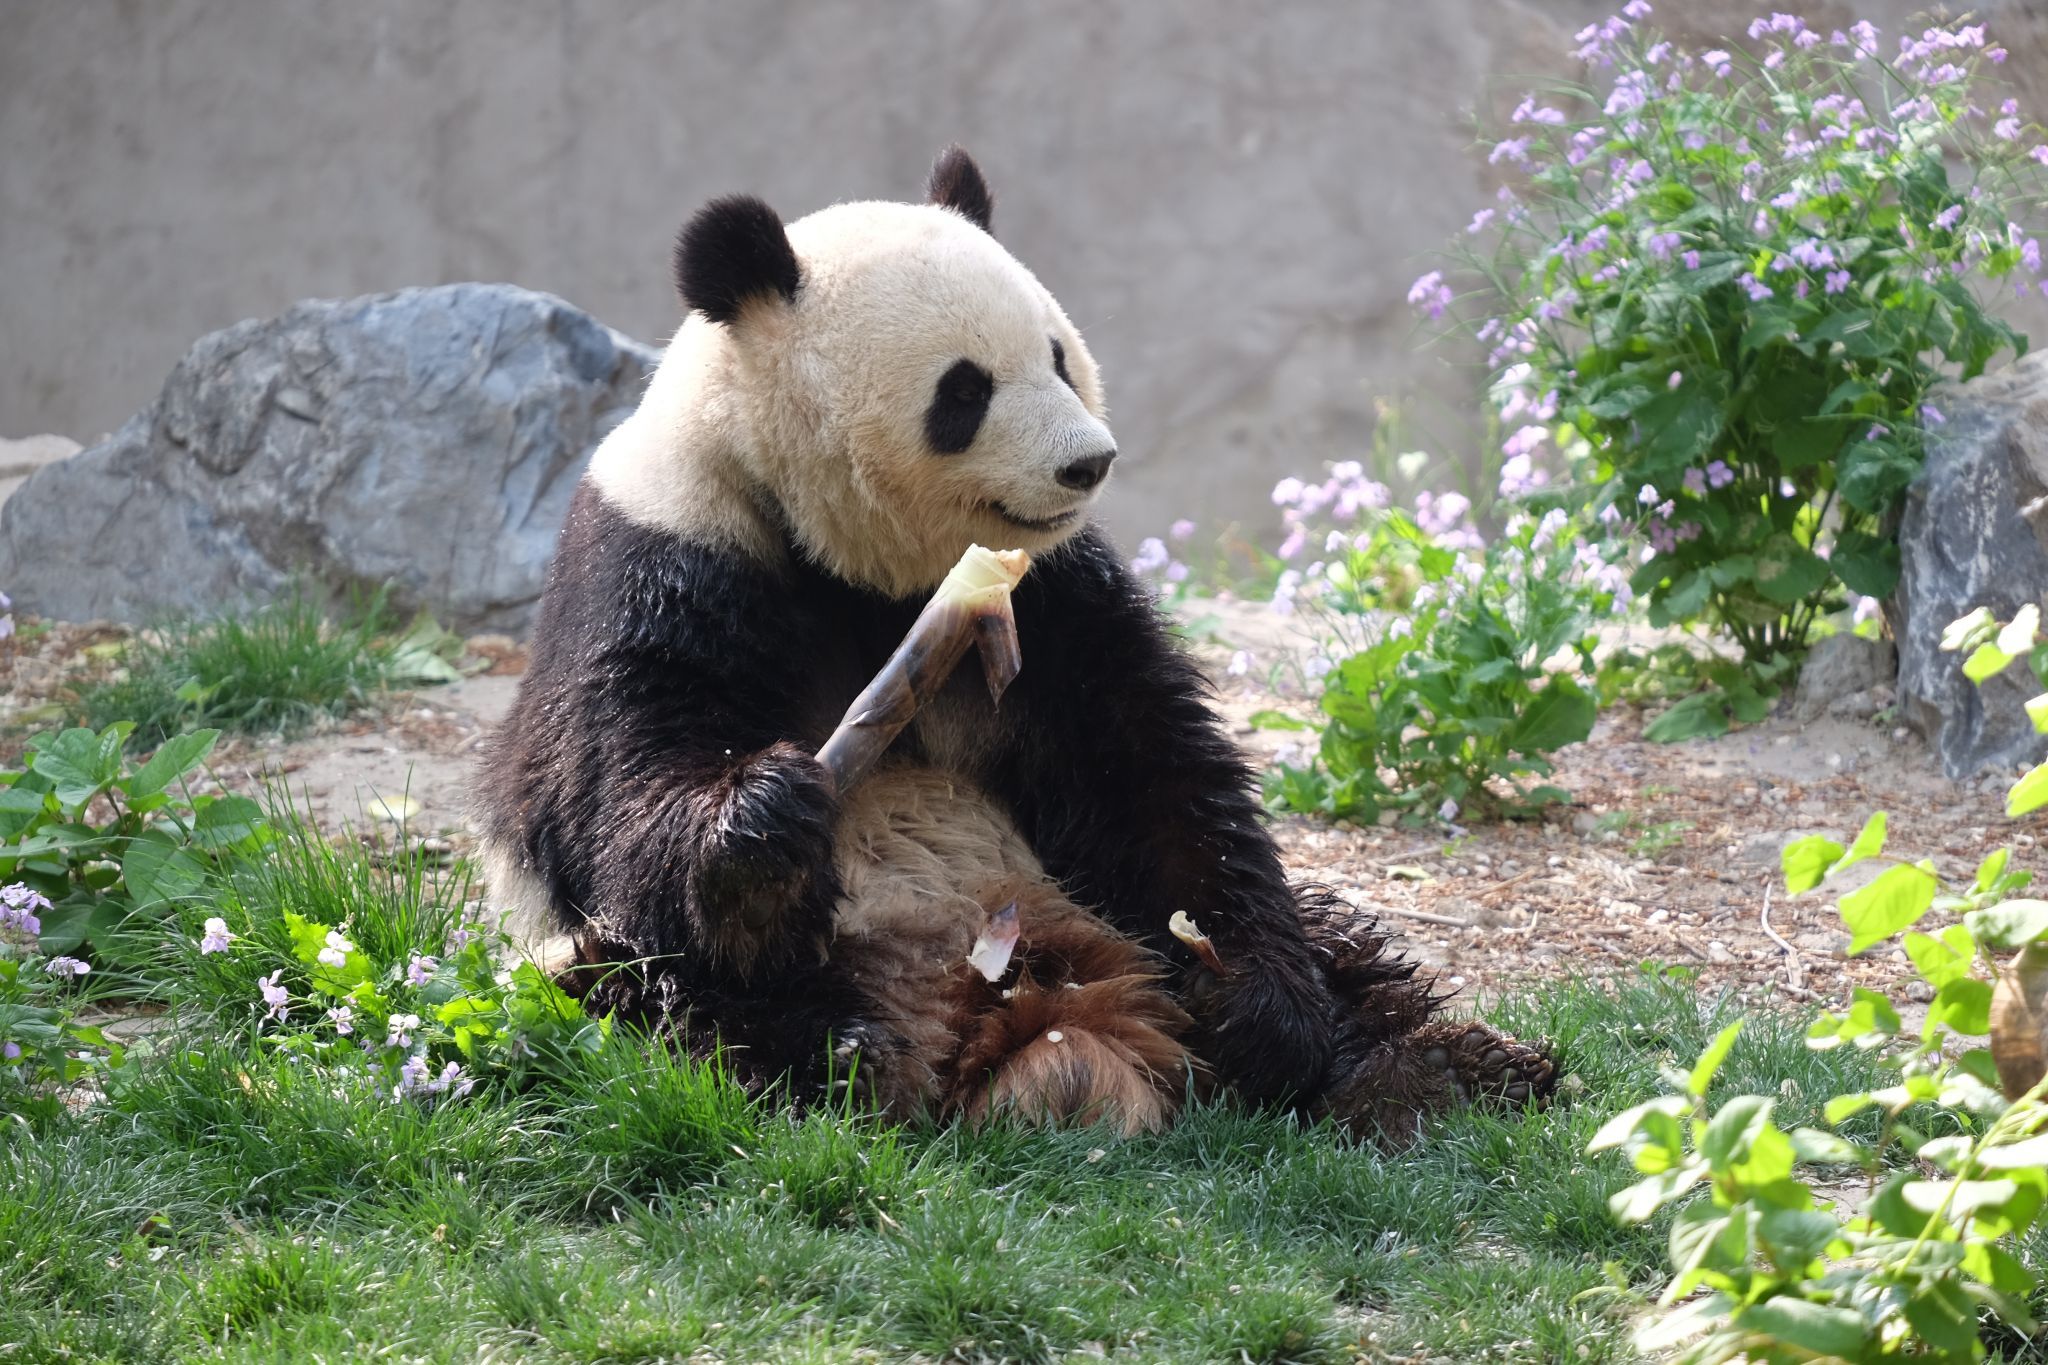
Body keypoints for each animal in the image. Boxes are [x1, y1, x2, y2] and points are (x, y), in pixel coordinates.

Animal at [479, 144, 1556, 1137]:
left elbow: (1152, 771)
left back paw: (1434, 1067)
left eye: (1058, 356)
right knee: (646, 990)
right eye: (965, 390)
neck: (854, 561)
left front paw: (1265, 1009)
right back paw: (834, 1048)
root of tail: (1035, 1026)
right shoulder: (672, 558)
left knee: (1337, 941)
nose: (1088, 463)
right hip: (630, 978)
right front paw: (767, 821)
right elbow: (624, 781)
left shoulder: (1054, 591)